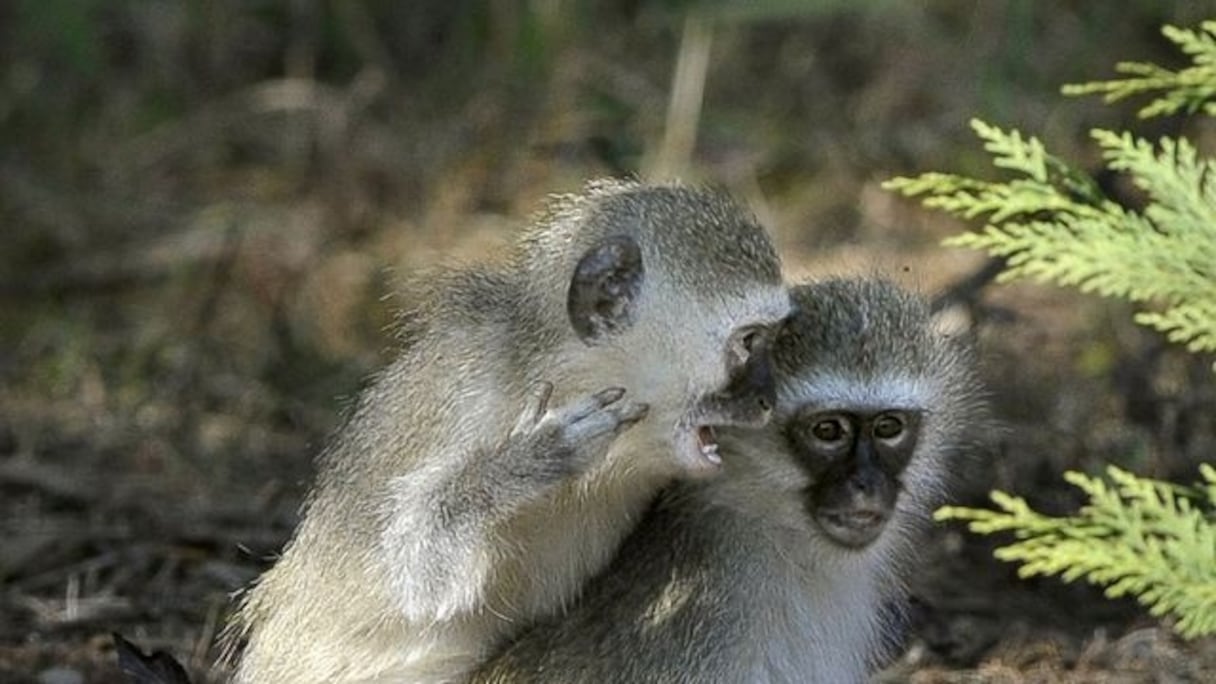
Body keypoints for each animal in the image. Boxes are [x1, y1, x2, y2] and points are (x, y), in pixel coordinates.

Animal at [218, 178, 787, 676]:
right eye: (749, 343)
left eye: (773, 340)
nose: (767, 401)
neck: (560, 374)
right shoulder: (470, 402)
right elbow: (418, 569)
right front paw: (523, 466)